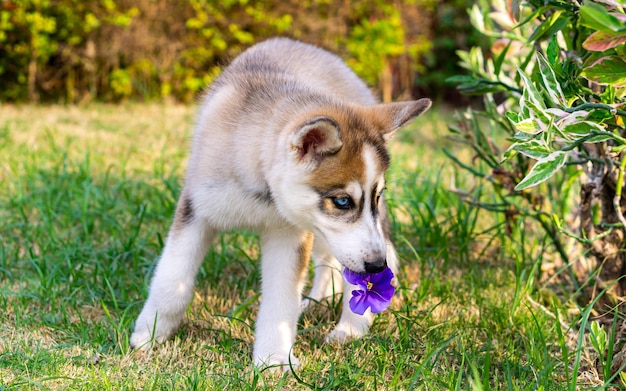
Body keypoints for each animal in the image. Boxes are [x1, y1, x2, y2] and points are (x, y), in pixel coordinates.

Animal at [131, 38, 428, 372]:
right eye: (342, 201)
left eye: (376, 195)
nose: (377, 265)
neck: (260, 181)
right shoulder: (196, 209)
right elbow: (172, 278)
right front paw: (151, 331)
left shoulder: (288, 234)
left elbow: (281, 299)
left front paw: (273, 358)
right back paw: (320, 302)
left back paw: (349, 329)